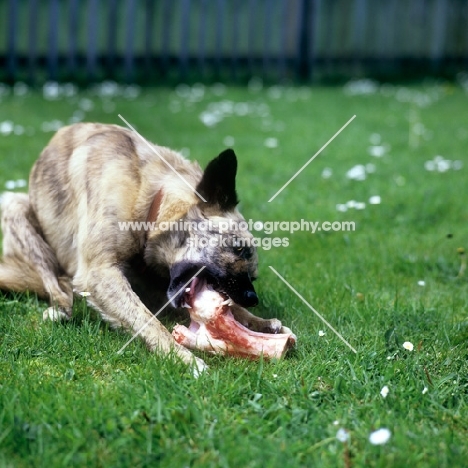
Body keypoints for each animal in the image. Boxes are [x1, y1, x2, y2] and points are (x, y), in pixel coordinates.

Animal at [0, 123, 288, 372]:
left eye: (254, 276)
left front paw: (257, 322)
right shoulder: (100, 272)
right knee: (55, 284)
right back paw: (61, 306)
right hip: (14, 205)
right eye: (238, 249)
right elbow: (148, 321)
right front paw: (183, 358)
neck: (150, 200)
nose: (253, 298)